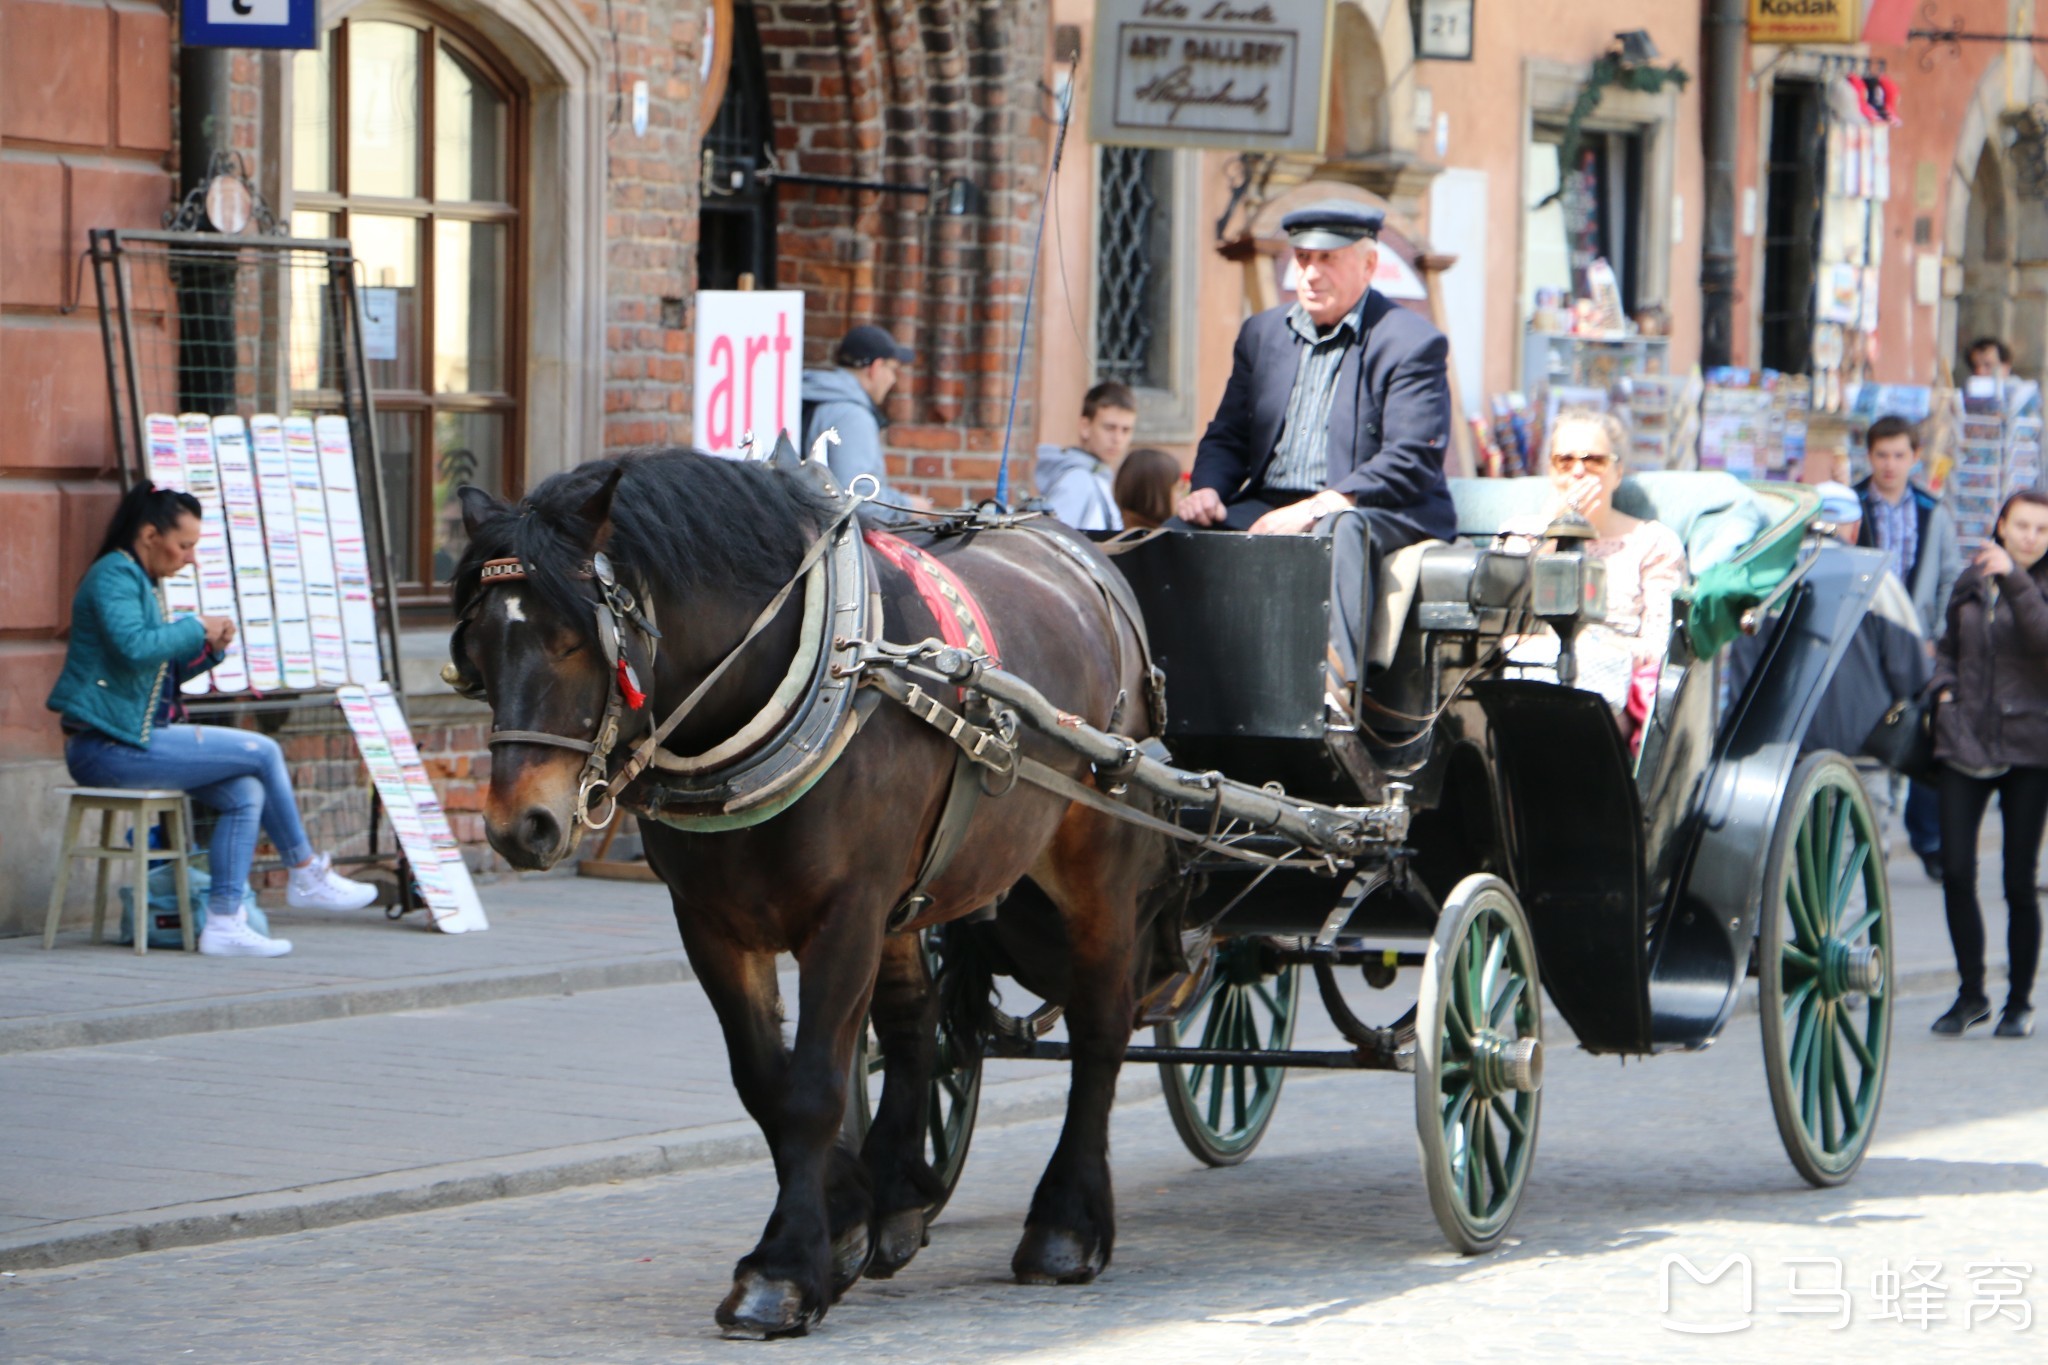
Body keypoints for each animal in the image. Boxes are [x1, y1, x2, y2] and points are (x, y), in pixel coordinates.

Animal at [452, 454, 1171, 1342]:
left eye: (572, 640)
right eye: (479, 646)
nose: (520, 825)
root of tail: (1088, 557)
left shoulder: (846, 915)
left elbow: (813, 1087)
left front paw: (782, 1273)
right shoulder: (711, 923)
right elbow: (767, 1080)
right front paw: (848, 1220)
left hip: (1096, 854)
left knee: (1101, 1023)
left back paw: (1066, 1223)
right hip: (918, 892)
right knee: (917, 1020)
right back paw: (898, 1197)